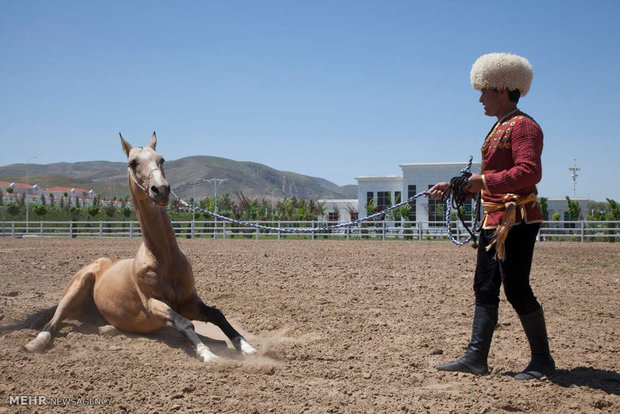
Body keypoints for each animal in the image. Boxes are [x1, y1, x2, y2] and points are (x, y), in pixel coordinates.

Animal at [23, 133, 256, 362]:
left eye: (161, 159)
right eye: (132, 163)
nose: (160, 189)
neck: (164, 259)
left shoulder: (188, 301)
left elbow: (217, 314)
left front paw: (246, 347)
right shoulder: (153, 305)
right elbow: (183, 323)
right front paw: (207, 353)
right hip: (75, 288)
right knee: (55, 320)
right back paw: (35, 343)